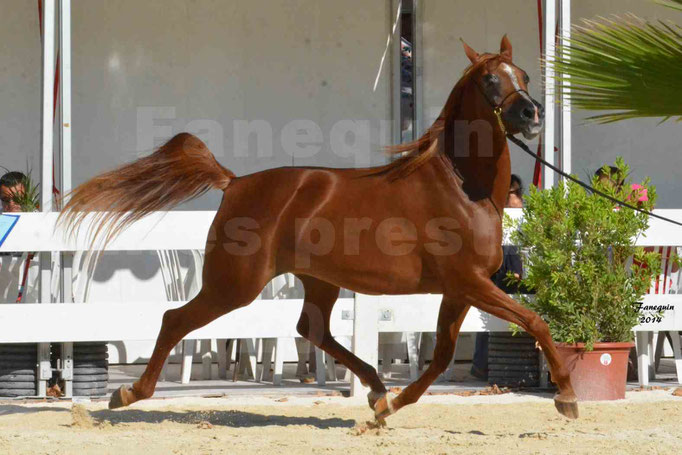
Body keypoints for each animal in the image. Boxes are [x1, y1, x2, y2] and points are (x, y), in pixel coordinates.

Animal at [61, 34, 576, 420]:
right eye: (490, 79)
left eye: (524, 75)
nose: (531, 113)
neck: (461, 186)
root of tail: (236, 182)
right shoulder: (469, 282)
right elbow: (535, 321)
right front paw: (567, 398)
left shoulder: (460, 288)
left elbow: (445, 354)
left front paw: (391, 407)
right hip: (236, 284)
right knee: (176, 319)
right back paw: (126, 394)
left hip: (318, 280)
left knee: (312, 330)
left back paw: (376, 388)